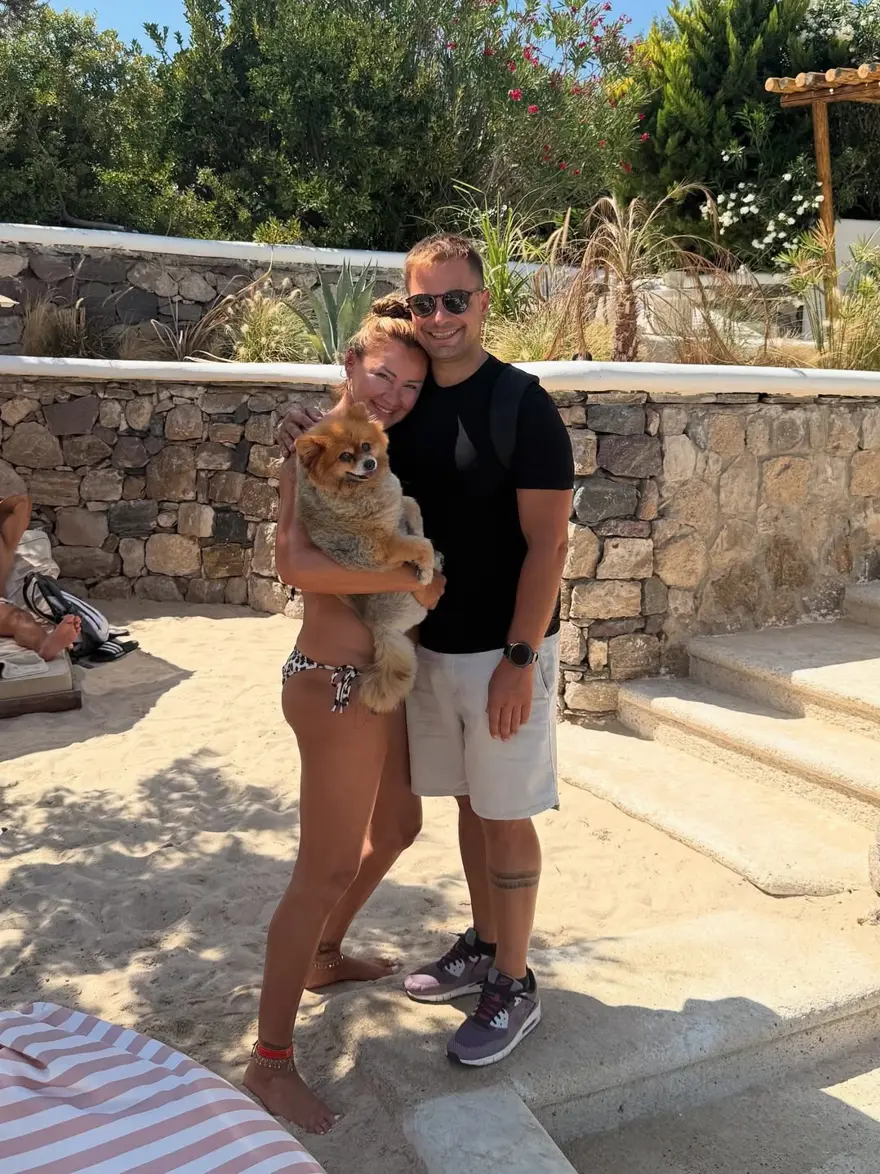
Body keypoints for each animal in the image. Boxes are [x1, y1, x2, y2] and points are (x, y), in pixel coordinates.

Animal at [294, 402, 439, 712]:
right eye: (345, 456)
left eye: (365, 446)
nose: (370, 464)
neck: (359, 491)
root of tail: (380, 630)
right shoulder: (379, 549)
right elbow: (422, 546)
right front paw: (427, 570)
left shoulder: (398, 507)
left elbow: (412, 506)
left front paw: (422, 534)